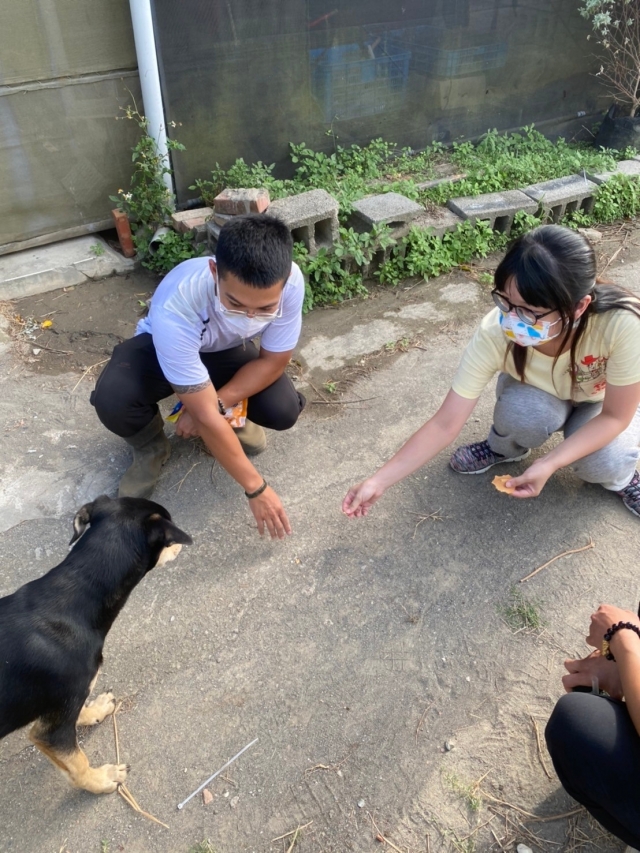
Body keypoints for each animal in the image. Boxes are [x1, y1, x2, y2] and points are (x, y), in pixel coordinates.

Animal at [0, 496, 190, 796]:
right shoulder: (52, 732)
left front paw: (95, 710)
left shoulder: (65, 705)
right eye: (170, 539)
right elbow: (77, 763)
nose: (181, 544)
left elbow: (80, 710)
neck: (76, 594)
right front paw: (101, 780)